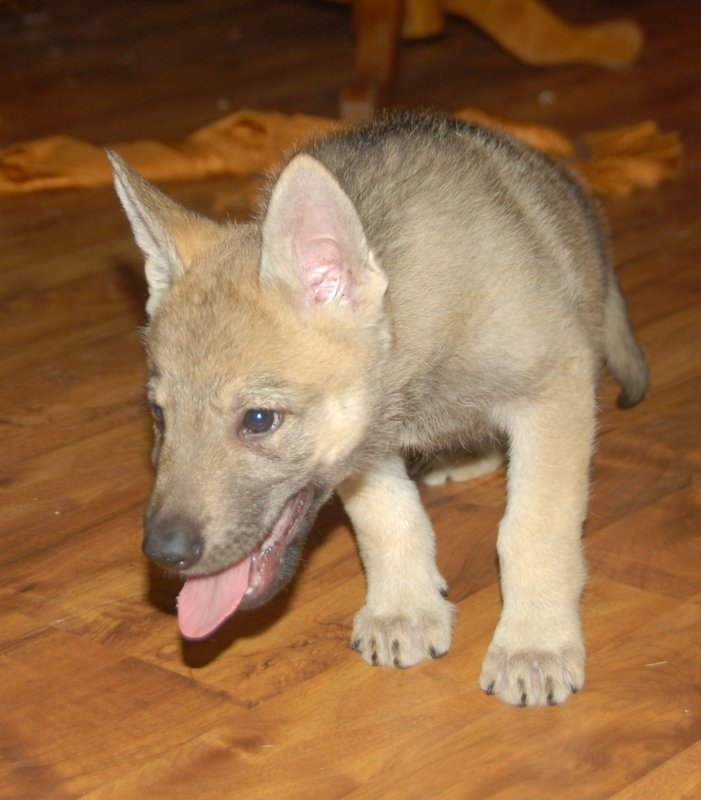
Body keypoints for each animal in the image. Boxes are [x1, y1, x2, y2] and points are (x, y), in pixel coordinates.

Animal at [109, 111, 648, 706]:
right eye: (159, 416)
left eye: (258, 420)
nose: (162, 552)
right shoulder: (366, 445)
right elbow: (389, 519)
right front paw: (404, 611)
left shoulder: (555, 390)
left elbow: (533, 528)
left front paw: (535, 646)